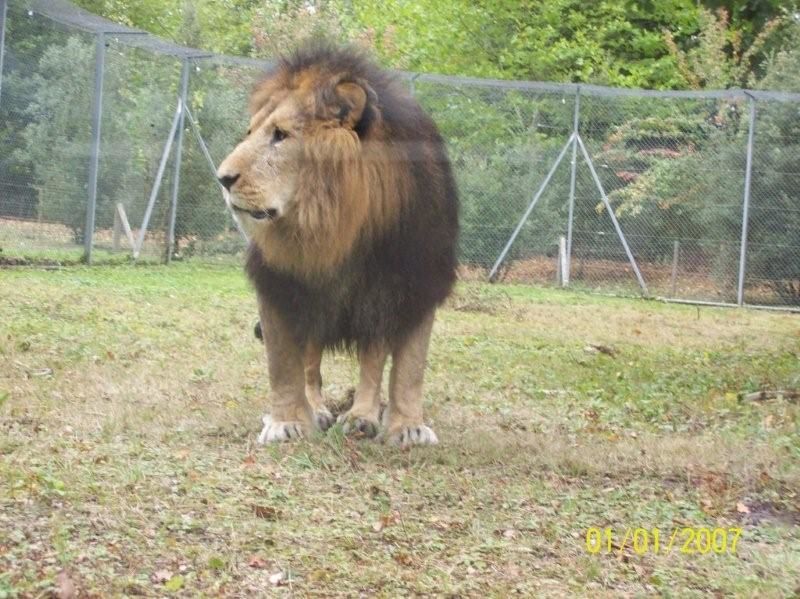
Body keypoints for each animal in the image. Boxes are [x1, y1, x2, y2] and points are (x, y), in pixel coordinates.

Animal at [216, 44, 460, 448]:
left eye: (280, 135)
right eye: (249, 132)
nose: (222, 178)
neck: (338, 225)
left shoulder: (415, 283)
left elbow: (408, 369)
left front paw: (407, 426)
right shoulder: (278, 284)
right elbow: (283, 365)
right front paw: (286, 422)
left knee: (372, 361)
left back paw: (362, 416)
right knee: (310, 364)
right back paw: (316, 409)